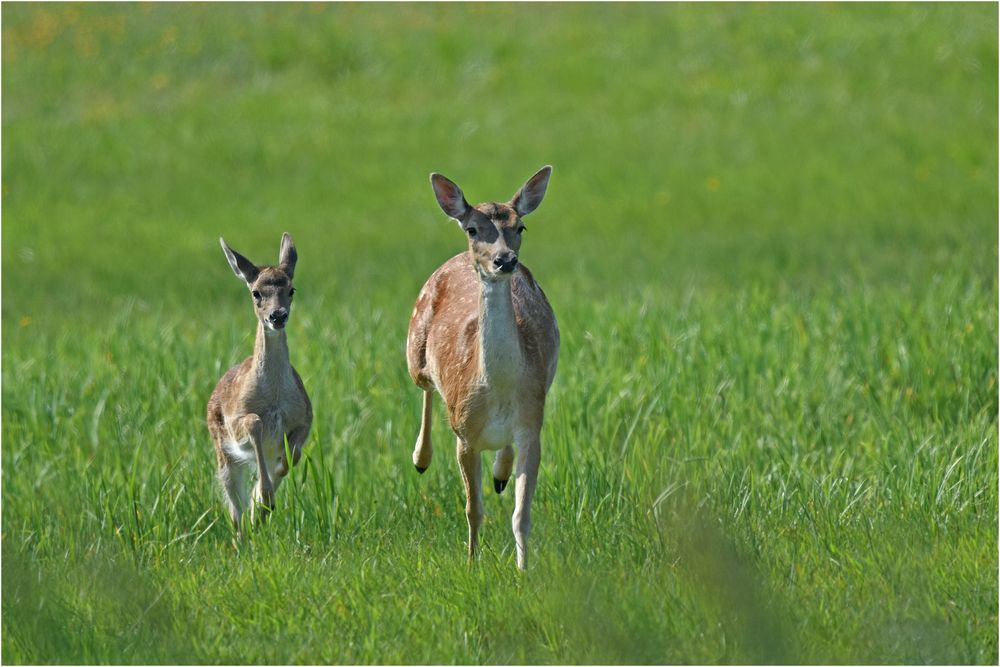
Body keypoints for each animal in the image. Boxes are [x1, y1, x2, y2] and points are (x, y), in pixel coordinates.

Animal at [206, 232, 308, 536]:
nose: (277, 316)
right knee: (232, 506)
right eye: (256, 293)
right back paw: (243, 531)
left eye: (291, 289)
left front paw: (262, 503)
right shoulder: (237, 421)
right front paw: (262, 500)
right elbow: (254, 423)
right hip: (222, 451)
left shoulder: (305, 417)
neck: (274, 397)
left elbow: (291, 458)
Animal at [408, 166, 564, 568]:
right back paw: (420, 458)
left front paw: (523, 569)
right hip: (413, 346)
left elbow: (521, 514)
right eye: (473, 229)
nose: (504, 260)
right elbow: (472, 509)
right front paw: (471, 561)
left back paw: (500, 474)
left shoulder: (531, 426)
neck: (498, 392)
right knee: (425, 387)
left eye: (520, 226)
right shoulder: (464, 435)